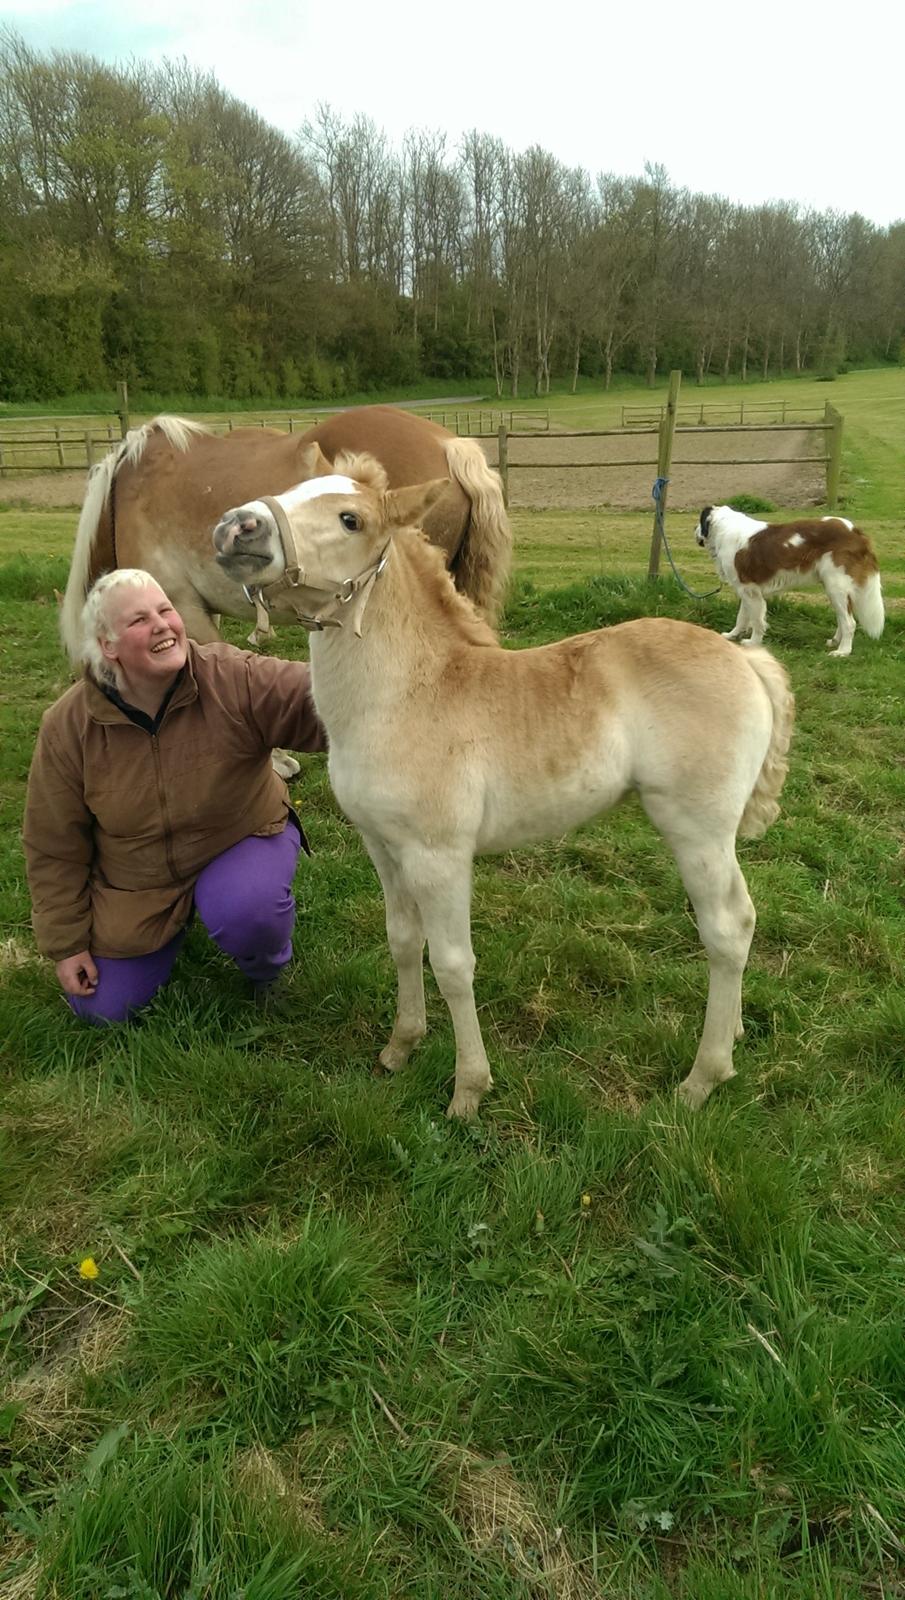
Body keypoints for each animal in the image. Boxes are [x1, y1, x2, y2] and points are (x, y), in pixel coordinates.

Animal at [212, 451, 793, 1120]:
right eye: (290, 490)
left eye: (350, 518)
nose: (235, 527)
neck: (406, 695)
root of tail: (745, 660)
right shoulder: (382, 847)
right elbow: (402, 941)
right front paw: (400, 1047)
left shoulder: (438, 857)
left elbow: (453, 965)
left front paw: (468, 1089)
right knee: (743, 919)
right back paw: (736, 1033)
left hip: (698, 830)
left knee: (726, 928)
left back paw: (703, 1077)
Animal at [693, 502, 889, 652]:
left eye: (699, 522)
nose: (694, 530)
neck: (723, 529)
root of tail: (856, 532)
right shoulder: (746, 589)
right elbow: (742, 617)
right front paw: (732, 635)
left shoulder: (749, 590)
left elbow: (756, 620)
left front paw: (753, 643)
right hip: (833, 587)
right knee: (842, 618)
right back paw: (835, 642)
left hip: (836, 586)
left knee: (849, 622)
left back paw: (843, 651)